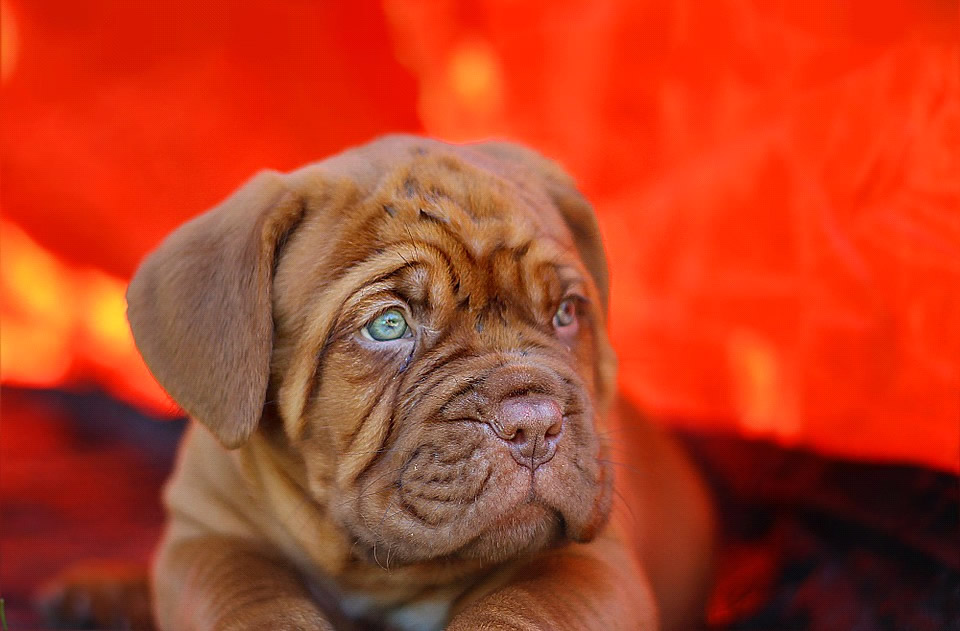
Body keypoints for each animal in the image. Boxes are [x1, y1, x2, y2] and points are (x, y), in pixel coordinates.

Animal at [114, 136, 712, 628]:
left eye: (565, 312)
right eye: (389, 324)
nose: (534, 425)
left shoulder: (594, 563)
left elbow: (520, 609)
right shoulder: (207, 541)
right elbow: (251, 604)